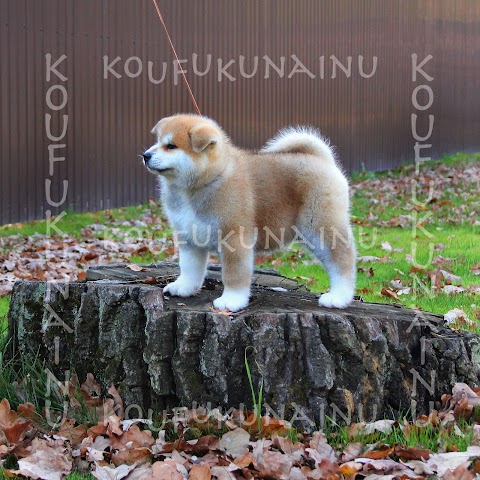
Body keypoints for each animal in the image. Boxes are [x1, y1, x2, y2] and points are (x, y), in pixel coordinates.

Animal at [142, 115, 356, 314]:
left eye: (171, 146)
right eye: (157, 141)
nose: (145, 155)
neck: (200, 184)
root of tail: (321, 159)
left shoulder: (234, 238)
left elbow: (234, 274)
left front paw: (231, 300)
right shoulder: (189, 236)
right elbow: (189, 268)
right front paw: (184, 287)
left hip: (319, 226)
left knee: (342, 260)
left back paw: (338, 297)